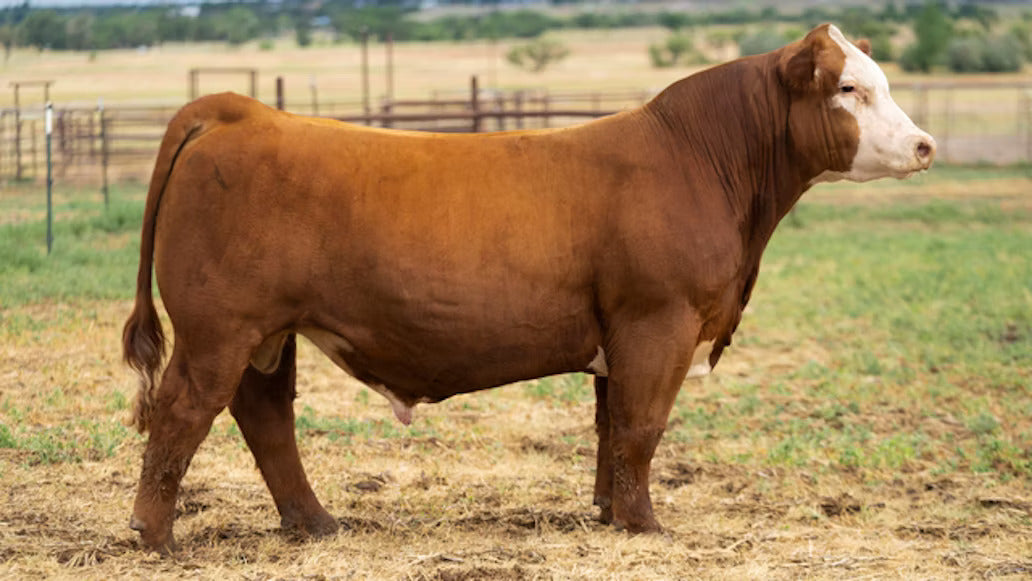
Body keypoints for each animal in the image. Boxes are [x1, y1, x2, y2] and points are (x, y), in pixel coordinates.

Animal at [123, 24, 934, 552]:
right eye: (850, 88)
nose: (925, 145)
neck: (699, 159)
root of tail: (241, 111)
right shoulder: (658, 320)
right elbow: (642, 426)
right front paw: (647, 527)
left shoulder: (620, 334)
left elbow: (612, 428)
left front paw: (611, 514)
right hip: (219, 328)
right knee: (183, 412)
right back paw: (156, 535)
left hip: (267, 332)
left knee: (265, 417)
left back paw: (315, 523)